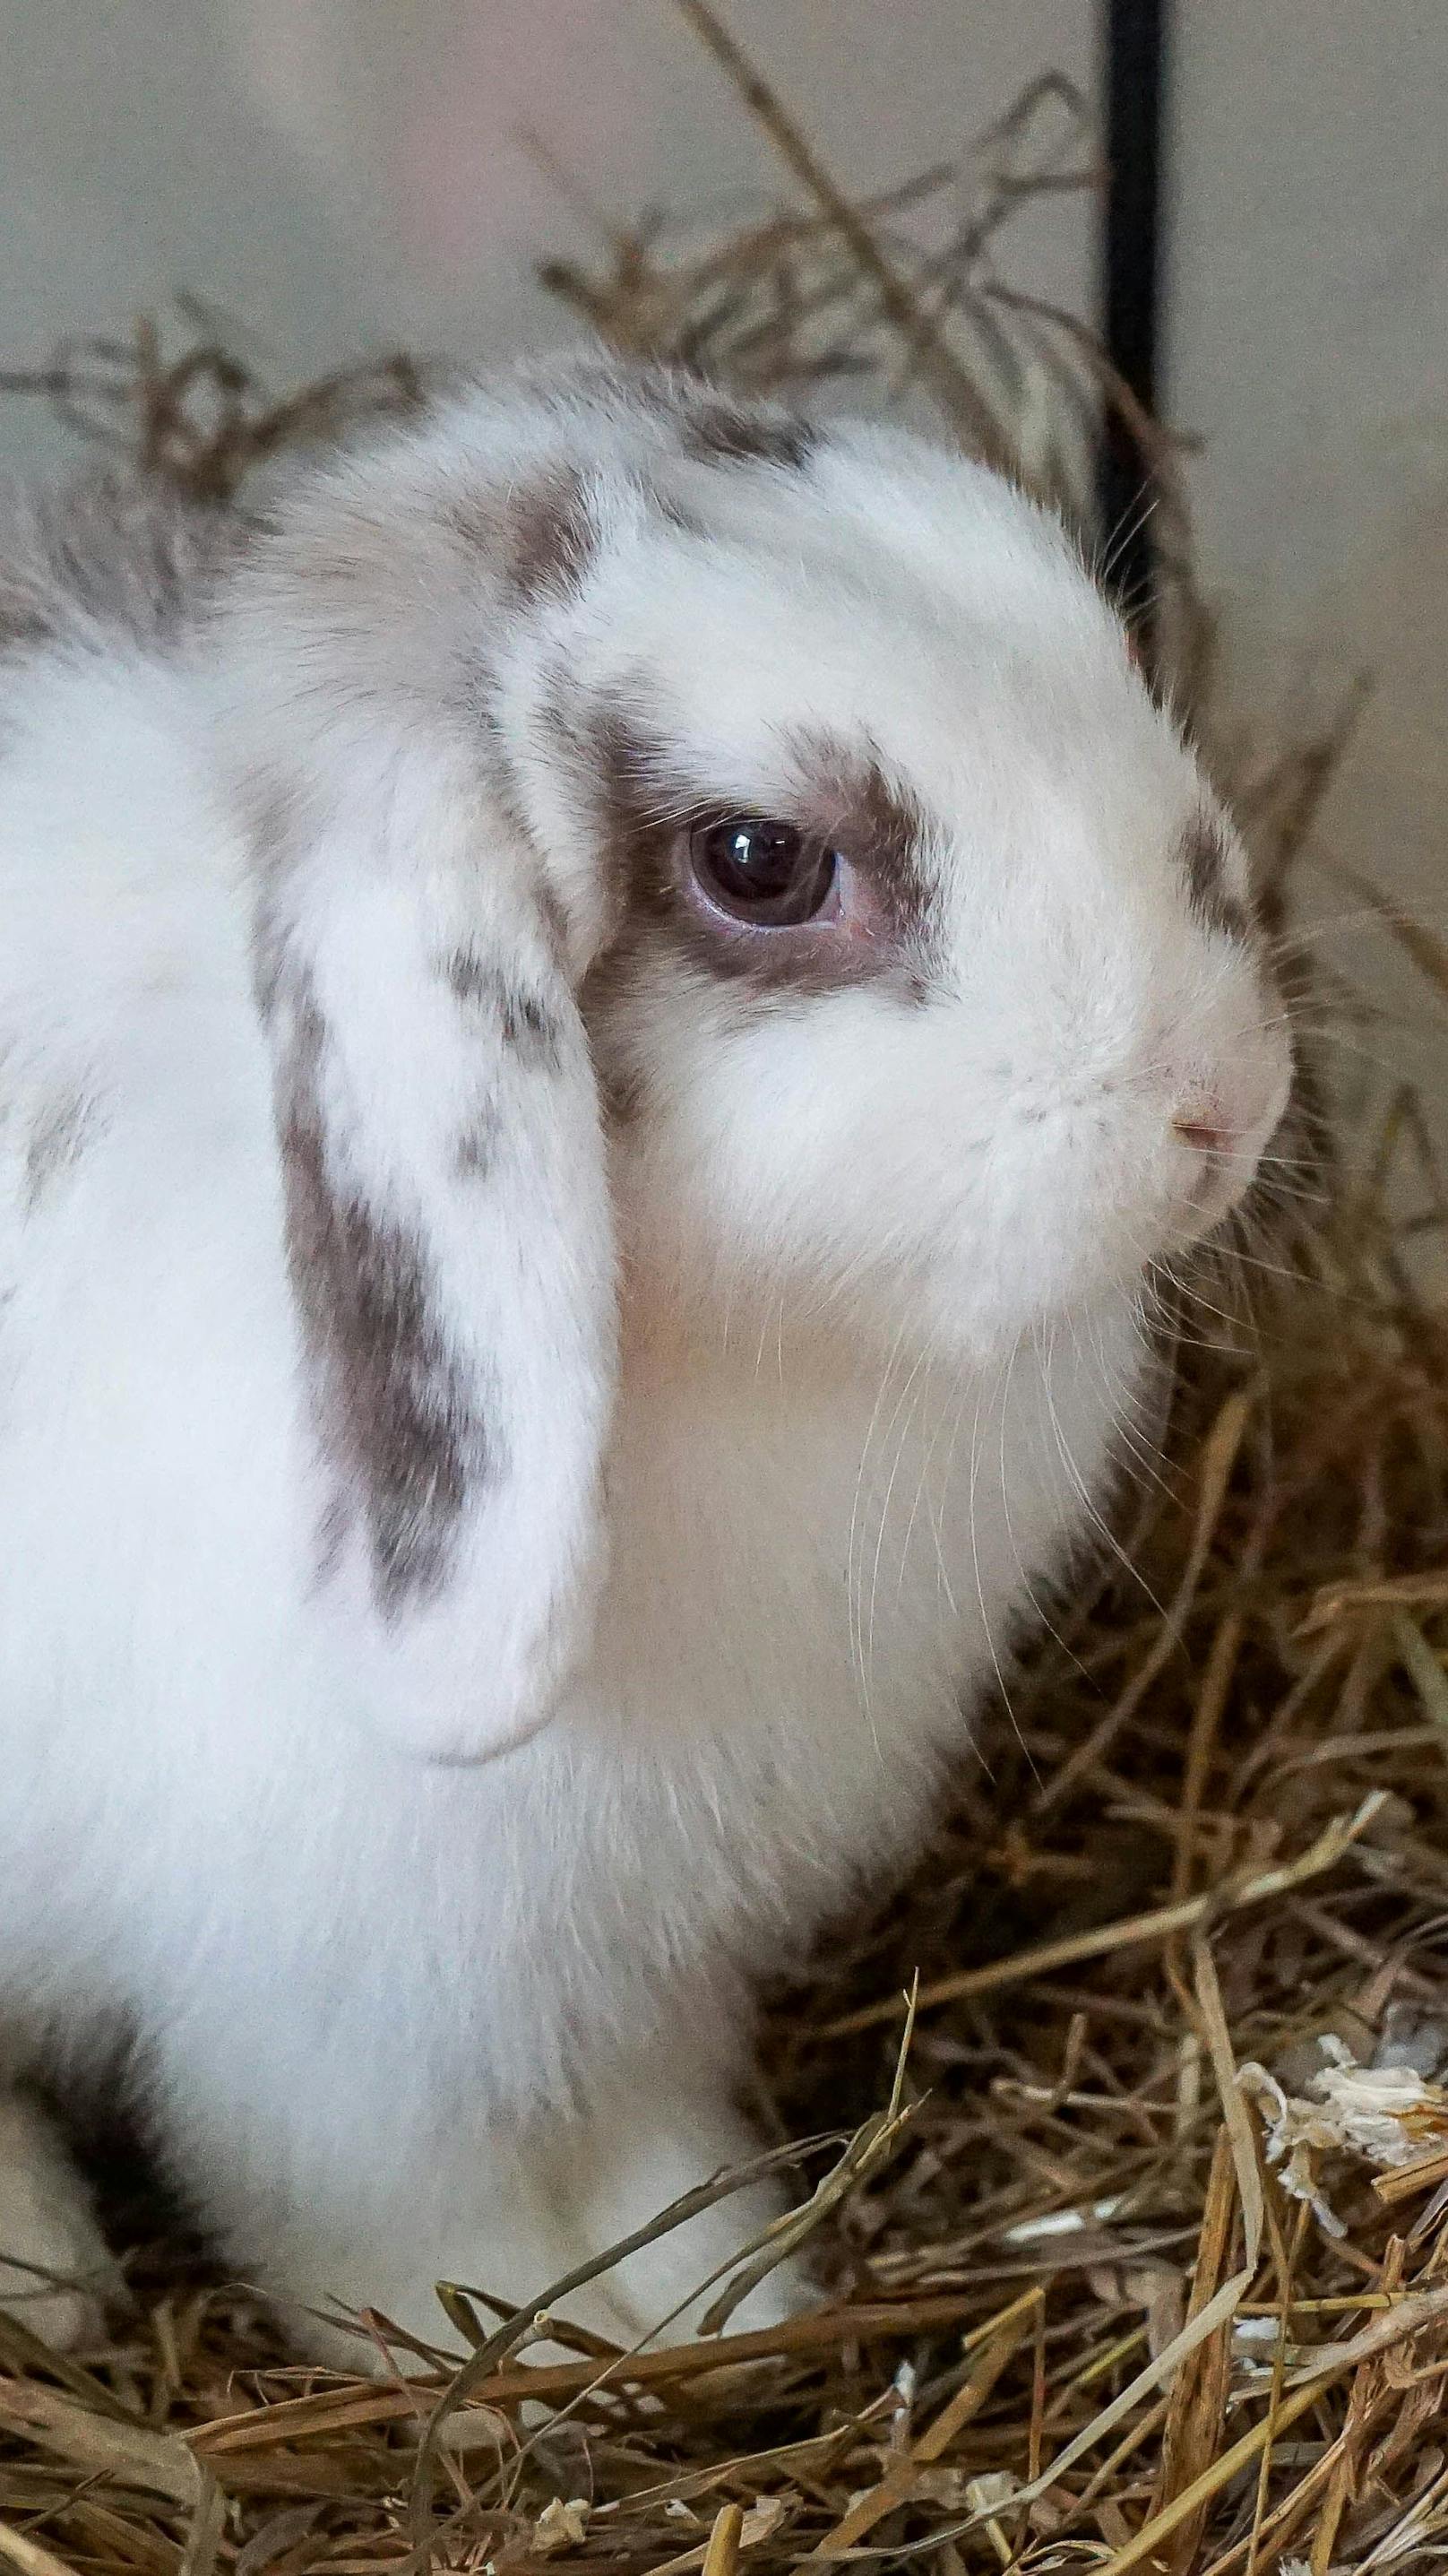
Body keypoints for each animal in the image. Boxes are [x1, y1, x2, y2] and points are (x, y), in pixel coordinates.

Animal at [0, 358, 1288, 2359]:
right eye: (761, 860)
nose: (1223, 1096)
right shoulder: (329, 2020)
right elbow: (380, 2208)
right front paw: (522, 2341)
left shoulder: (650, 1967)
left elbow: (639, 2126)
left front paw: (708, 2286)